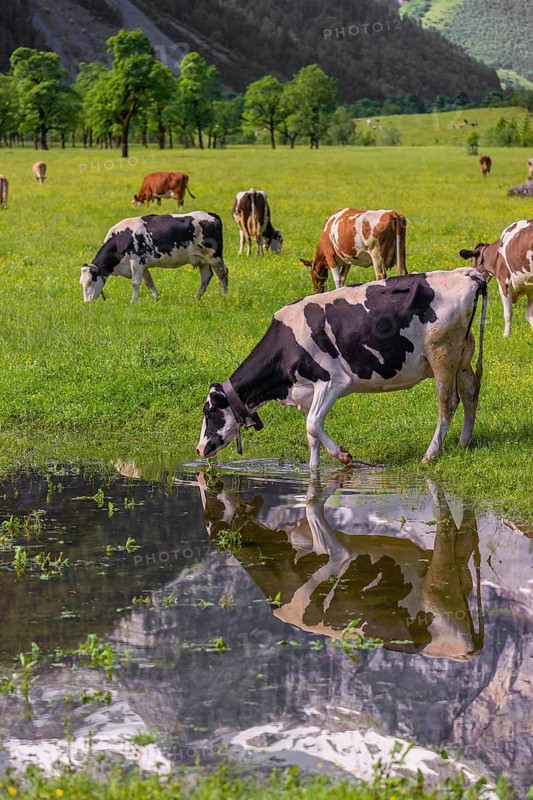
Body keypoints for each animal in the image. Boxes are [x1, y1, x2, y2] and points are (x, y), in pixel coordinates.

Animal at [80, 212, 228, 303]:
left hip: (214, 256)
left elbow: (135, 283)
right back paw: (197, 298)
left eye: (91, 281)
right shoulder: (142, 265)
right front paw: (157, 298)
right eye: (82, 283)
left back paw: (224, 296)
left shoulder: (136, 261)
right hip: (202, 259)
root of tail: (211, 215)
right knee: (206, 277)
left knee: (222, 273)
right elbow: (148, 281)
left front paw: (133, 302)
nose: (87, 302)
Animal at [197, 268, 487, 469]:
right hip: (462, 357)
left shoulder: (331, 381)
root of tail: (465, 273)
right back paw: (465, 441)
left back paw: (430, 454)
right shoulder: (309, 392)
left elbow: (313, 424)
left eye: (209, 412)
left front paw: (344, 456)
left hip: (442, 356)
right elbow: (311, 435)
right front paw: (313, 471)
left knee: (448, 402)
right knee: (470, 392)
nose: (199, 449)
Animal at [199, 474, 483, 661]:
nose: (204, 477)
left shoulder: (332, 548)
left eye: (211, 514)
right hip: (460, 569)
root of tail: (468, 653)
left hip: (440, 584)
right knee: (467, 535)